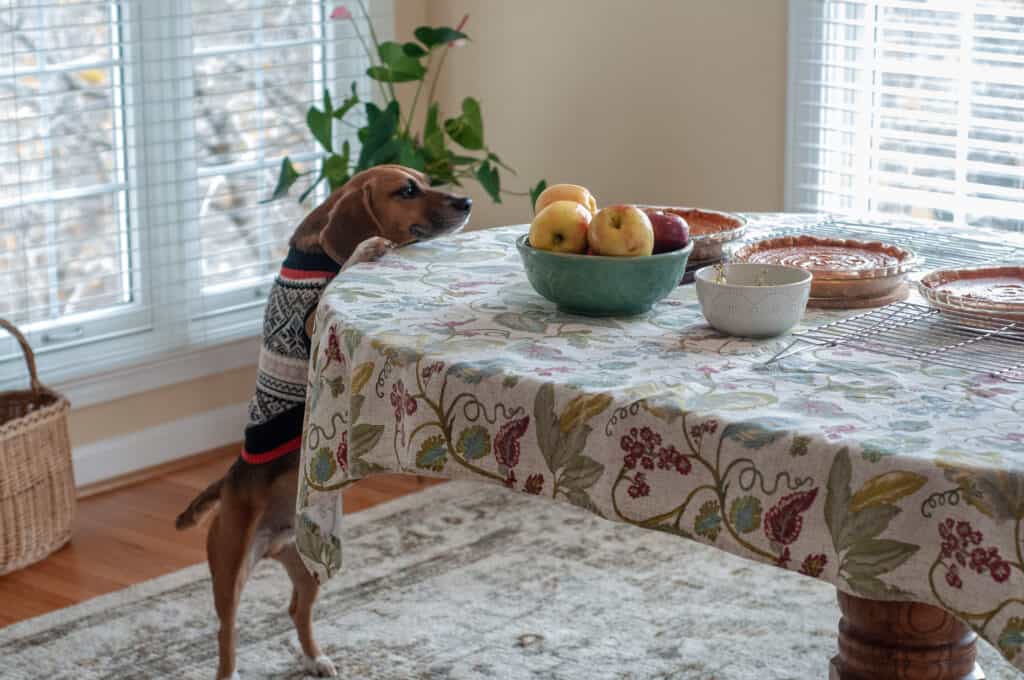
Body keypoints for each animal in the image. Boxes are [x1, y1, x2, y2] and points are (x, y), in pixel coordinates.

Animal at [178, 165, 473, 680]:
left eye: (425, 179)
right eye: (407, 190)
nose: (467, 203)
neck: (316, 256)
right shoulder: (316, 323)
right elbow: (352, 264)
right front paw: (366, 248)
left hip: (311, 565)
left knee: (296, 609)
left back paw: (317, 659)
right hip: (230, 571)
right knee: (227, 636)